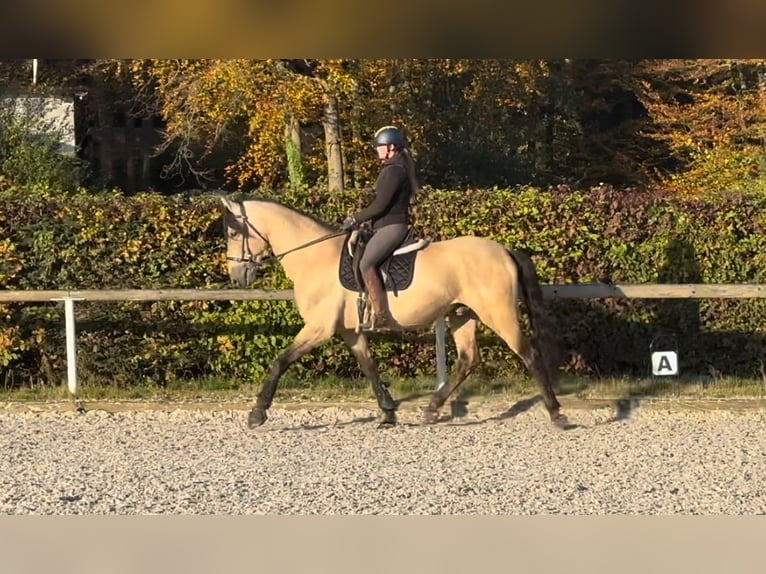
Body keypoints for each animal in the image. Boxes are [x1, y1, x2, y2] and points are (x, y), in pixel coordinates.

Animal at [219, 196, 568, 430]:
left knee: (529, 354)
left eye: (234, 234)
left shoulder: (319, 328)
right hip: (461, 314)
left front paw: (257, 413)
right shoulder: (349, 331)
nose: (237, 277)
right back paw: (431, 409)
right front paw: (387, 411)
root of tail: (504, 249)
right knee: (469, 359)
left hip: (498, 314)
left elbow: (280, 362)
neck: (315, 258)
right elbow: (369, 367)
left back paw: (556, 413)